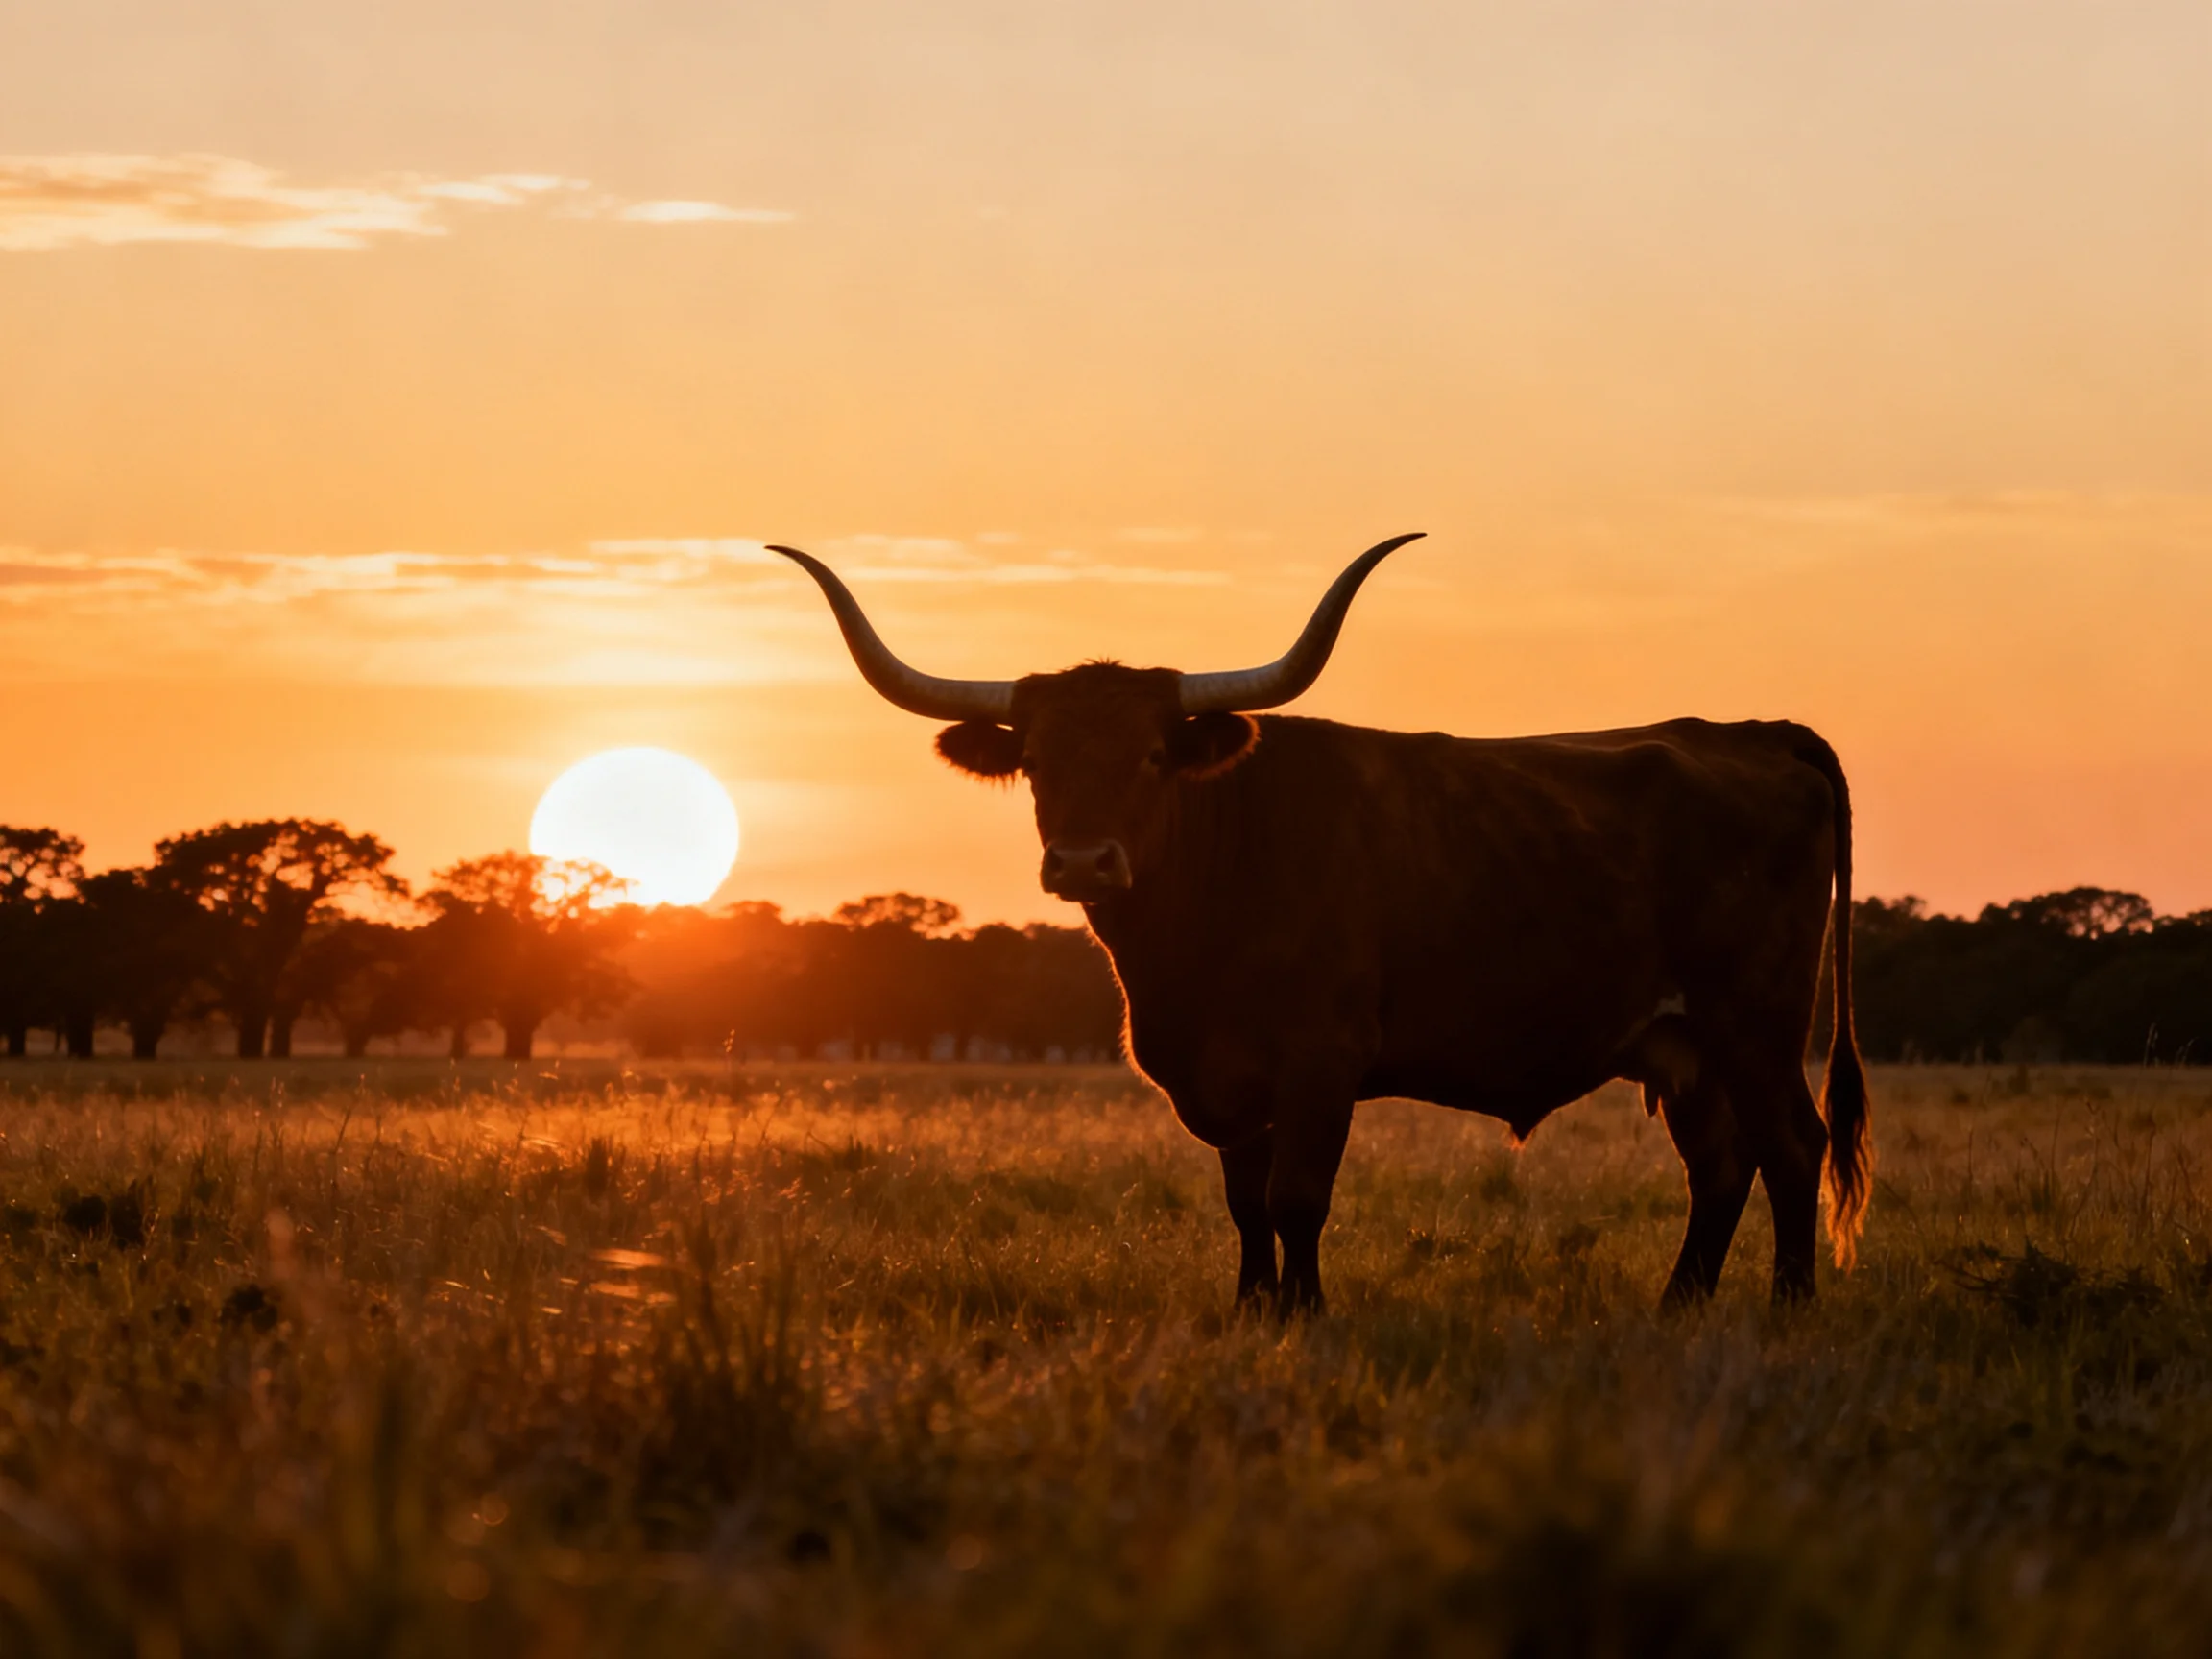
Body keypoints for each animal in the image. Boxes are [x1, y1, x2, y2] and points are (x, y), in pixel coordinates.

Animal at [771, 534, 1871, 1314]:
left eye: (1151, 756)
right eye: (1036, 760)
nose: (1083, 861)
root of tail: (1754, 733)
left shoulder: (1319, 1060)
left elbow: (1297, 1197)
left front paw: (1304, 1318)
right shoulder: (1226, 1079)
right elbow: (1246, 1202)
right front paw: (1252, 1313)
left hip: (1757, 1025)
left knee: (1791, 1149)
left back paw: (1788, 1310)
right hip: (1686, 1048)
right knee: (1720, 1165)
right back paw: (1677, 1310)